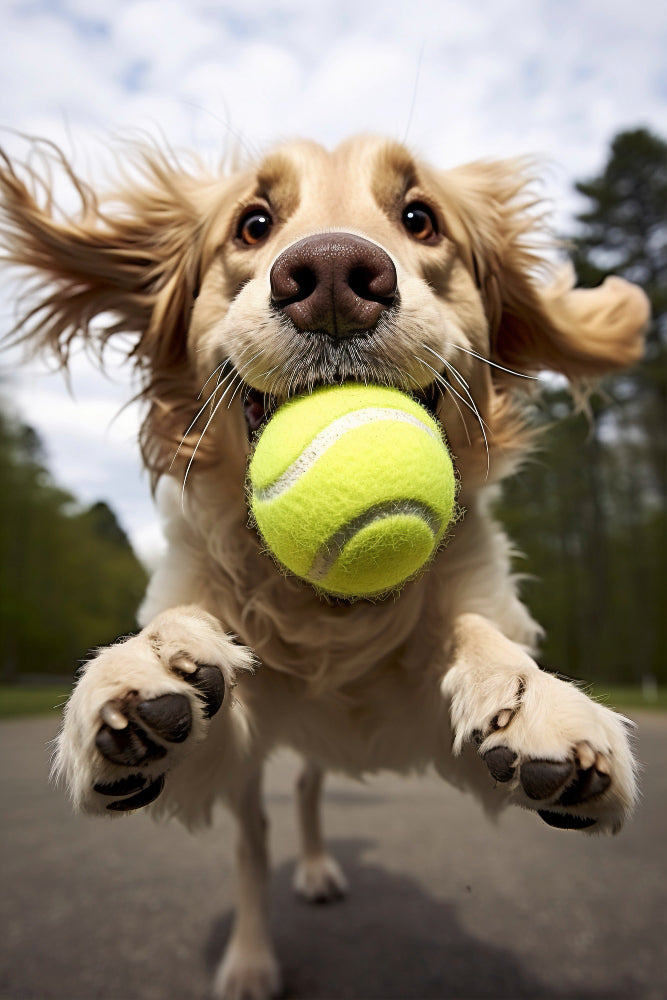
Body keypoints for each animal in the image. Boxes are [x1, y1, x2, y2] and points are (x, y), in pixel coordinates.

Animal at [0, 135, 648, 1000]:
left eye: (419, 217)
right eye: (253, 223)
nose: (335, 274)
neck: (331, 608)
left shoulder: (434, 702)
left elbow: (475, 636)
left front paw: (532, 701)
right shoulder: (222, 736)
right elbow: (188, 636)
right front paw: (142, 670)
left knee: (307, 790)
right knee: (256, 837)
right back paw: (251, 957)